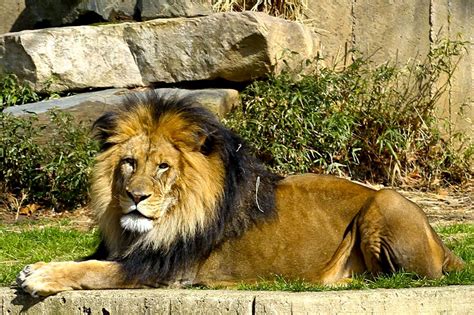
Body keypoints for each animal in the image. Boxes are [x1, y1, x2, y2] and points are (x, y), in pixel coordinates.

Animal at [16, 92, 464, 298]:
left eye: (163, 166)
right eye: (129, 162)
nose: (135, 197)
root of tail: (445, 247)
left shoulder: (164, 271)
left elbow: (93, 271)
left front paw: (40, 277)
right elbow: (87, 260)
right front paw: (36, 266)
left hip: (387, 200)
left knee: (401, 276)